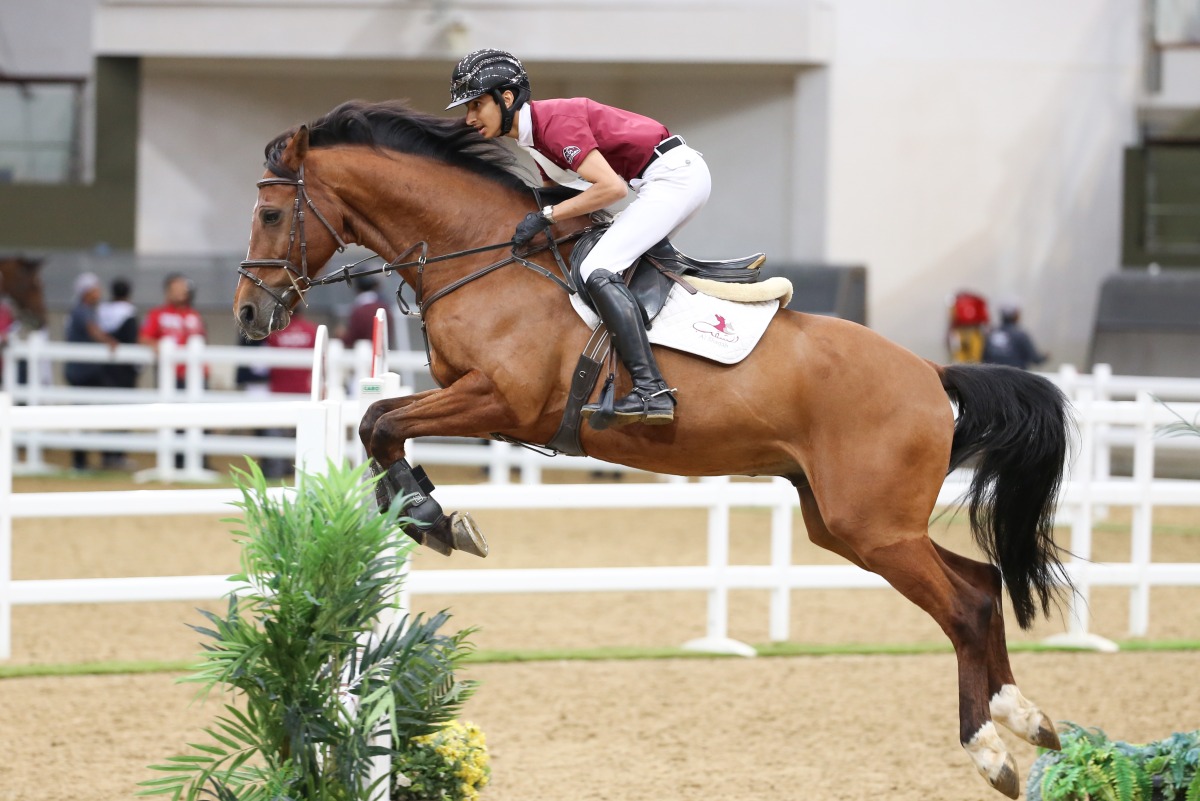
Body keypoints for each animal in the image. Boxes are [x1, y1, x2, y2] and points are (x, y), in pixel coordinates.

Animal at [234, 101, 1070, 801]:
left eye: (271, 212)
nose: (248, 313)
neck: (480, 255)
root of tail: (930, 373)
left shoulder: (503, 400)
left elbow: (379, 418)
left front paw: (434, 517)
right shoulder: (481, 402)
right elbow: (381, 422)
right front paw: (421, 511)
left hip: (876, 526)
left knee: (963, 601)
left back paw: (991, 747)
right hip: (844, 523)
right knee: (982, 581)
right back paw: (1027, 718)